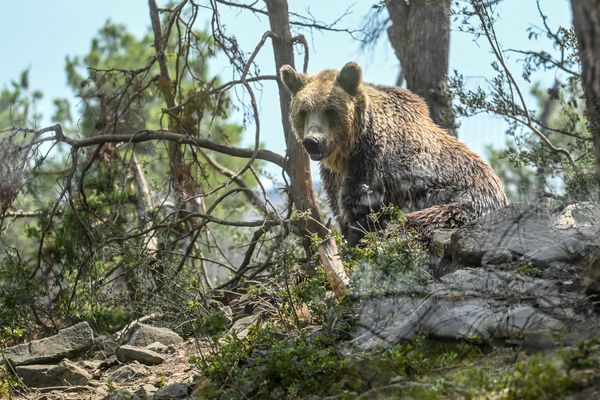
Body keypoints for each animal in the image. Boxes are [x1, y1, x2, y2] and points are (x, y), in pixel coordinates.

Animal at [278, 62, 508, 245]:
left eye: (330, 110)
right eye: (303, 111)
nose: (312, 141)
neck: (350, 149)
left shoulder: (373, 167)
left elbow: (361, 213)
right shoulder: (334, 177)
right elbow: (340, 210)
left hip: (461, 205)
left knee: (414, 222)